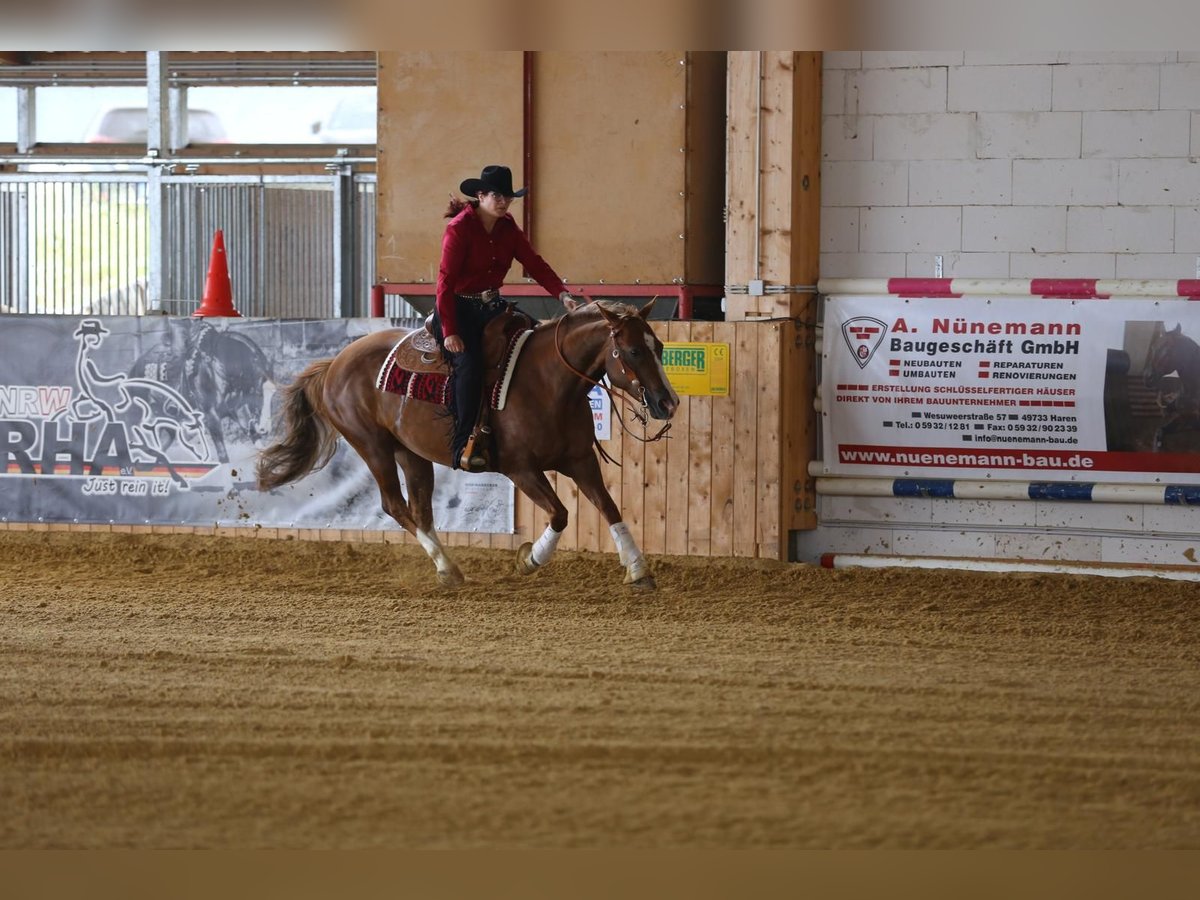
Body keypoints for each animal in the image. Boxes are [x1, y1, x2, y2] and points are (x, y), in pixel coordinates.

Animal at [256, 300, 681, 588]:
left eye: (659, 346)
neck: (548, 382)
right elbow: (560, 514)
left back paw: (447, 568)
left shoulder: (580, 460)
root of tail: (336, 363)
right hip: (371, 445)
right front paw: (529, 559)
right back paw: (446, 567)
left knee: (420, 509)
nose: (668, 402)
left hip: (410, 452)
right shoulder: (520, 470)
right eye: (632, 351)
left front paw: (638, 569)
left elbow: (609, 508)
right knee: (395, 505)